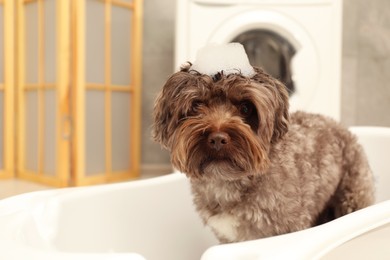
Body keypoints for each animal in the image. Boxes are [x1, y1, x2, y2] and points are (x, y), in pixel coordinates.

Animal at [152, 63, 374, 244]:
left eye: (245, 107)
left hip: (353, 193)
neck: (229, 183)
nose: (217, 138)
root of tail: (340, 126)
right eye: (197, 105)